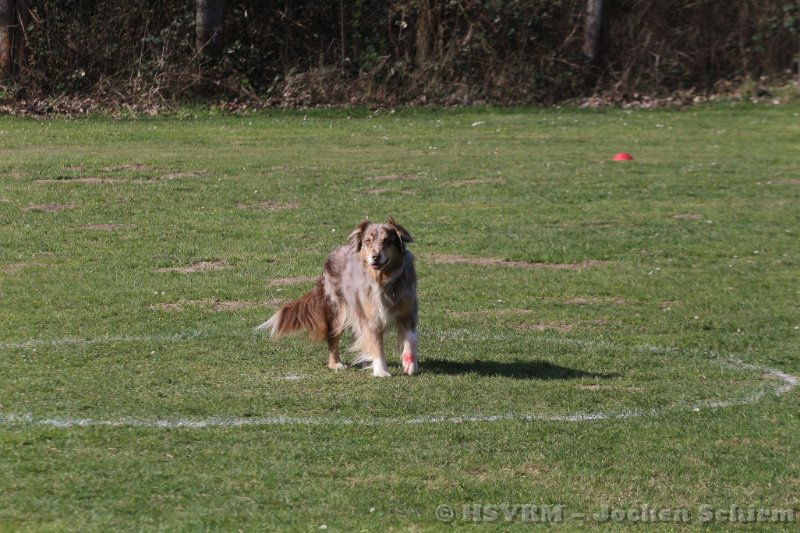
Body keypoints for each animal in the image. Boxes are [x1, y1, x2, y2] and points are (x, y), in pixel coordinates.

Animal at [257, 217, 418, 377]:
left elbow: (411, 338)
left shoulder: (409, 309)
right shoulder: (371, 315)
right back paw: (335, 363)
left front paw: (409, 363)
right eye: (368, 241)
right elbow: (376, 343)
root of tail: (333, 253)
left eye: (386, 241)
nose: (375, 257)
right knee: (333, 338)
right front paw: (381, 371)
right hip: (338, 311)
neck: (383, 278)